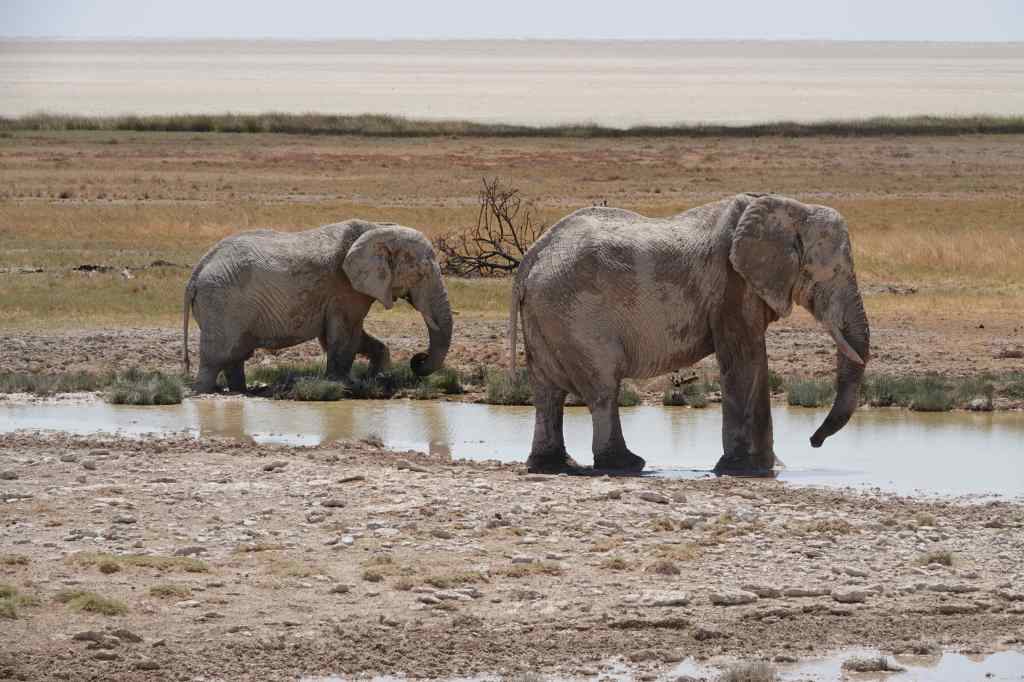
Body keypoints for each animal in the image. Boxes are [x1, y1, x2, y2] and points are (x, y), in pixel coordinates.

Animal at [183, 220, 453, 393]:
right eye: (422, 273)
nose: (418, 359)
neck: (377, 228)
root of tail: (195, 274)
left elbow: (349, 337)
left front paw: (375, 379)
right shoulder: (344, 288)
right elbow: (345, 336)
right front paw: (343, 385)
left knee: (235, 355)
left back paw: (241, 391)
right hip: (221, 303)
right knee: (217, 356)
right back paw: (204, 392)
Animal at [508, 193, 870, 476]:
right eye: (833, 272)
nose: (813, 441)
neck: (788, 208)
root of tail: (530, 259)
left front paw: (770, 467)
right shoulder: (732, 285)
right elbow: (745, 360)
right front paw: (748, 469)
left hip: (547, 315)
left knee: (547, 393)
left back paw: (554, 465)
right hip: (576, 315)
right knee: (602, 388)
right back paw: (626, 464)